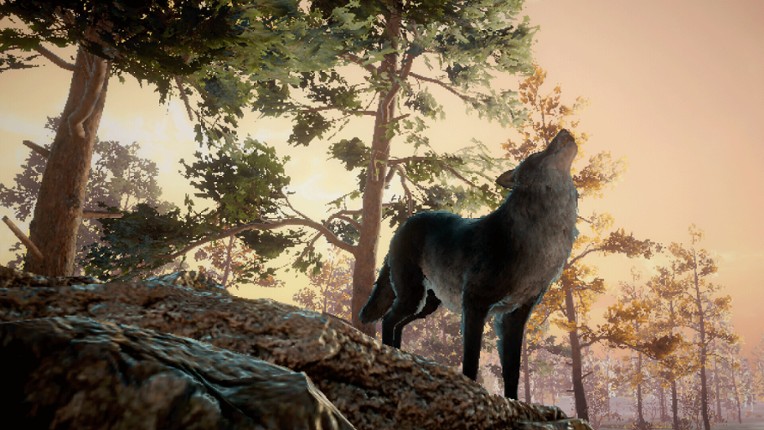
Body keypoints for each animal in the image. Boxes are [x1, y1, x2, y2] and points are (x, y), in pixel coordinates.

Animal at [359, 129, 579, 399]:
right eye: (539, 153)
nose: (565, 131)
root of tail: (406, 223)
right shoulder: (474, 303)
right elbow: (471, 360)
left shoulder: (516, 316)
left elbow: (512, 370)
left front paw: (513, 401)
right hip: (413, 296)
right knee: (389, 319)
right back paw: (393, 355)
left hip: (427, 305)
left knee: (397, 322)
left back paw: (403, 356)